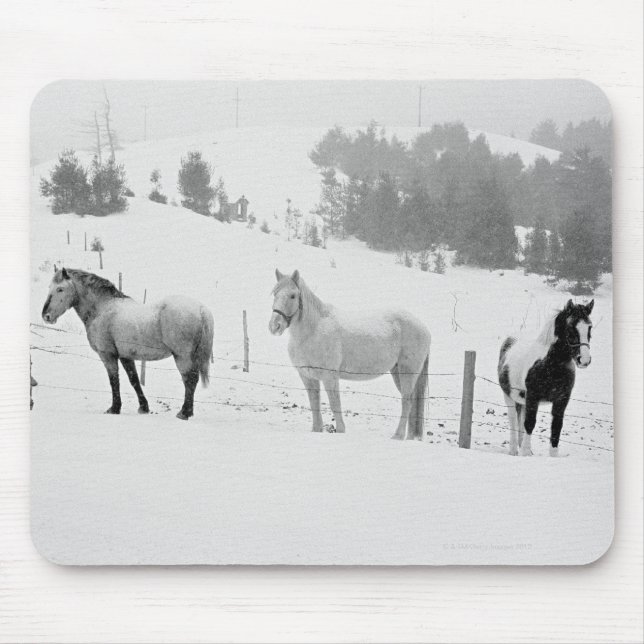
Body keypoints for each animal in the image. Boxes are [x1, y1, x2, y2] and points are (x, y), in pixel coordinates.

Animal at [42, 268, 214, 420]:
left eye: (60, 289)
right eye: (49, 287)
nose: (46, 316)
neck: (102, 308)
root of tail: (201, 309)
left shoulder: (108, 355)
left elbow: (114, 380)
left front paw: (114, 408)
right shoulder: (125, 356)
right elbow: (134, 380)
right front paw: (143, 407)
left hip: (182, 356)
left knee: (190, 380)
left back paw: (184, 413)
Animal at [269, 269, 431, 440]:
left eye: (293, 295)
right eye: (275, 293)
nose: (275, 326)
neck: (312, 331)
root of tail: (423, 327)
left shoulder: (330, 377)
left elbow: (335, 403)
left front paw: (341, 430)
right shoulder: (307, 377)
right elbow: (314, 402)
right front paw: (316, 429)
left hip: (407, 371)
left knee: (407, 401)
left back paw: (398, 436)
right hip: (397, 371)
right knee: (411, 400)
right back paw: (410, 437)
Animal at [497, 299, 594, 457]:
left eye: (589, 327)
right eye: (570, 327)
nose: (584, 360)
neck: (549, 365)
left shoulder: (561, 400)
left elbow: (556, 428)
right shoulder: (533, 396)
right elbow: (529, 423)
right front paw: (524, 453)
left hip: (523, 400)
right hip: (509, 397)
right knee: (513, 420)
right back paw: (513, 450)